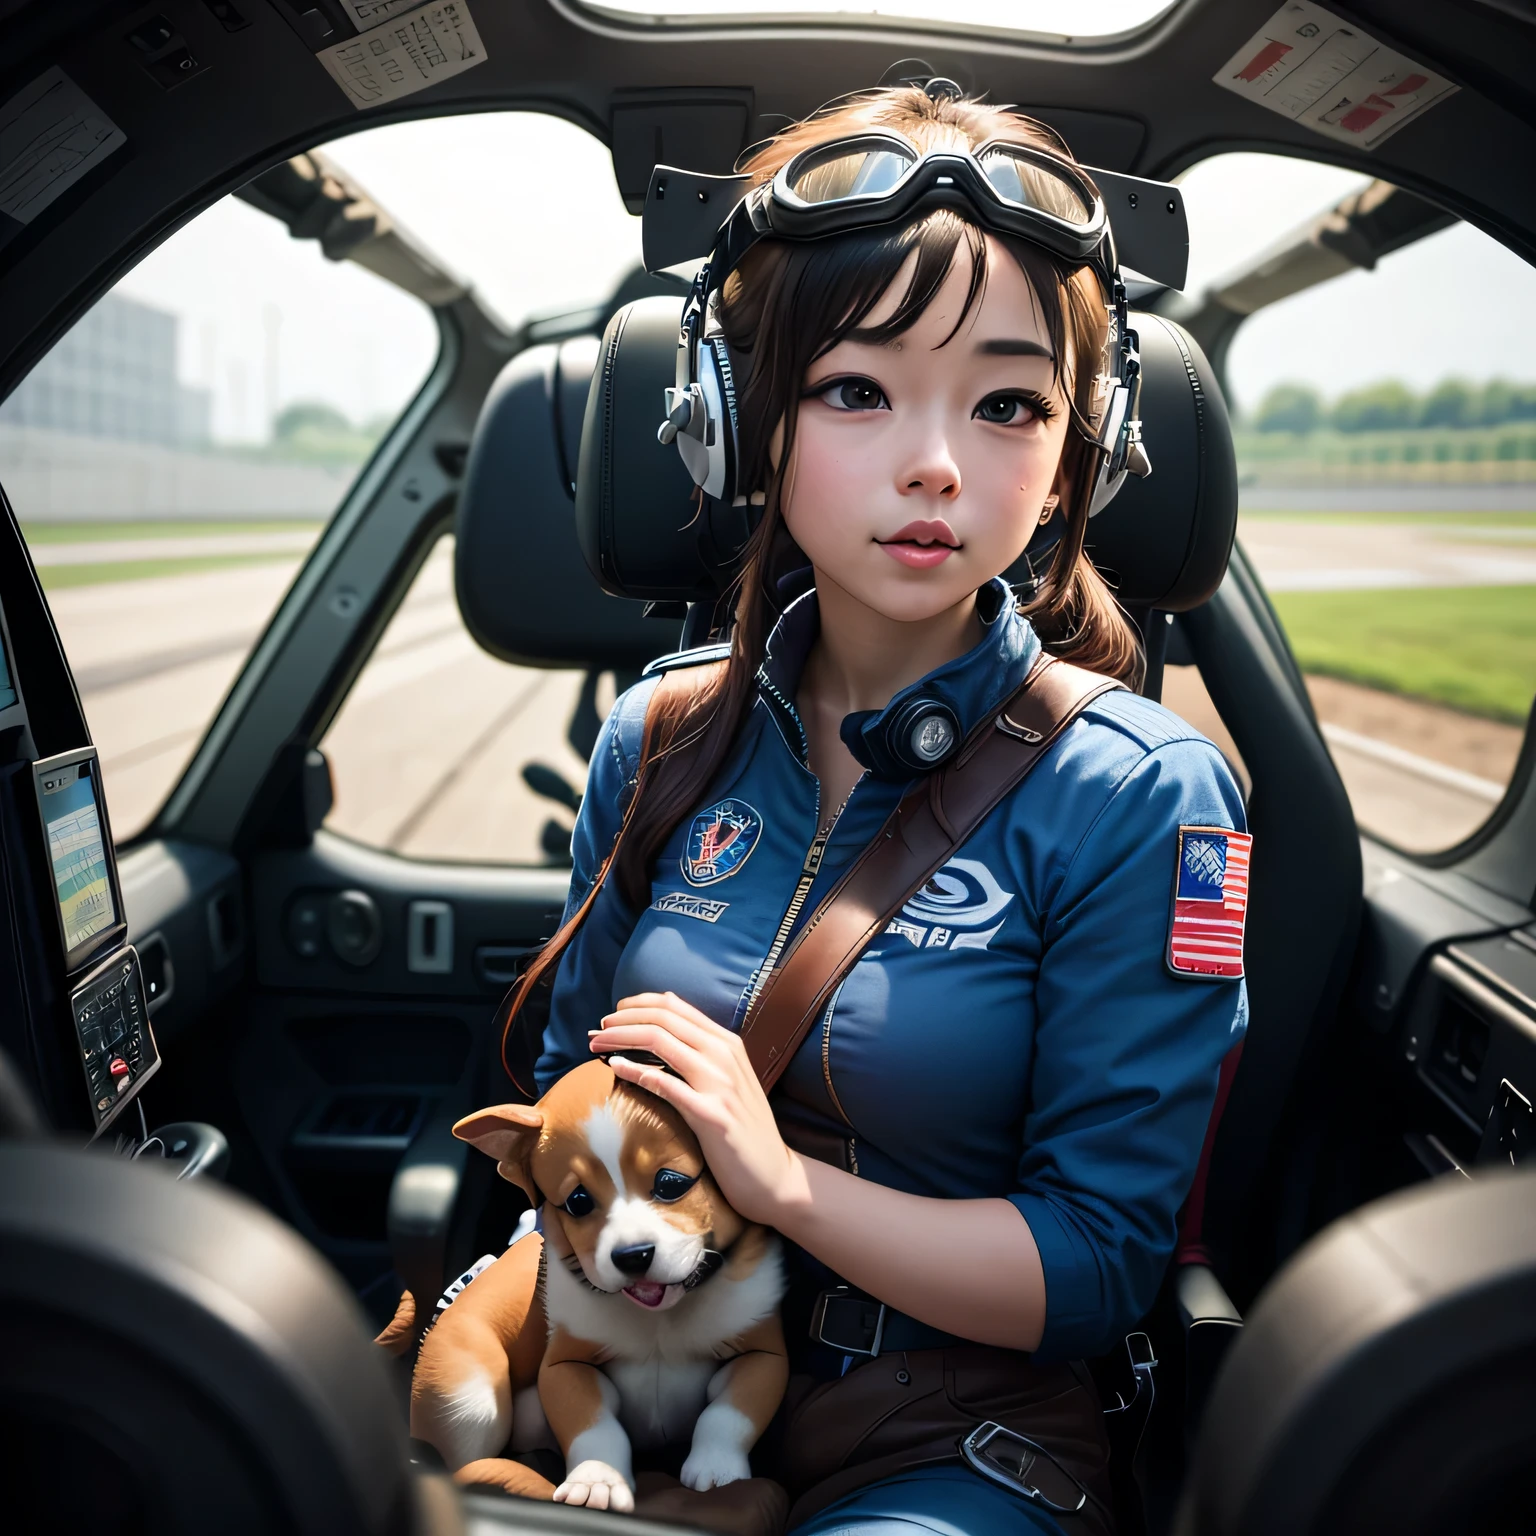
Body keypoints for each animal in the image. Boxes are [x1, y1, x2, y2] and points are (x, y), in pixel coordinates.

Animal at [411, 1062, 786, 1505]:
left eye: (670, 1184)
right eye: (578, 1202)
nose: (633, 1255)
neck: (660, 1316)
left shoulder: (762, 1356)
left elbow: (728, 1413)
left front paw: (718, 1469)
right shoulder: (565, 1366)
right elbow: (592, 1424)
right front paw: (598, 1480)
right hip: (466, 1396)